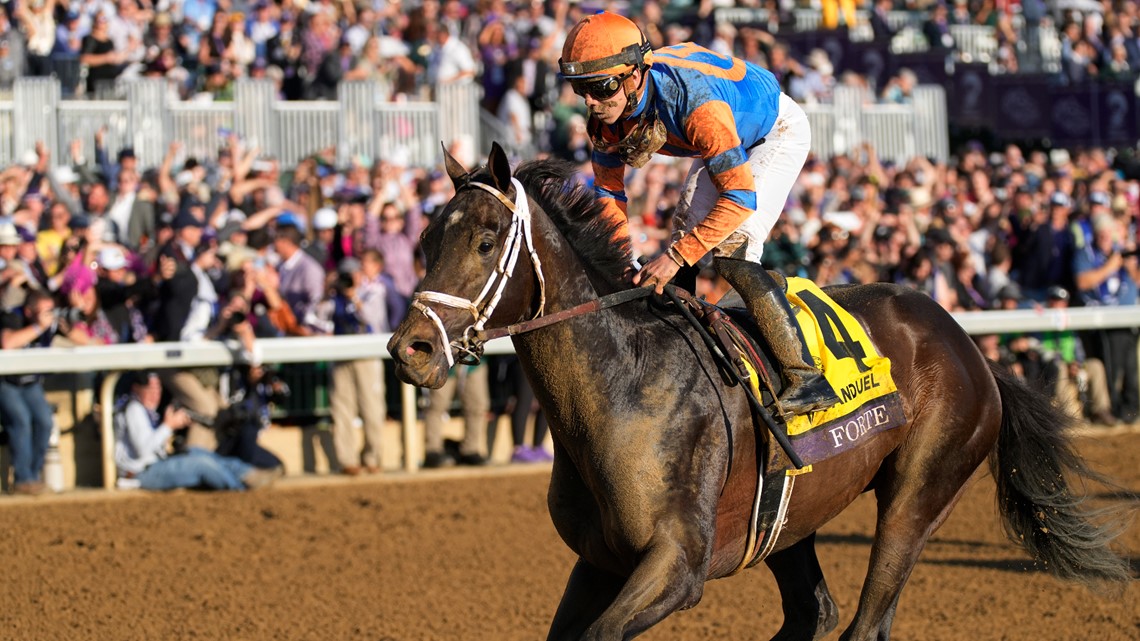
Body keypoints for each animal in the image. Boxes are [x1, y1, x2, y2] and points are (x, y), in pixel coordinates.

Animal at [385, 144, 1130, 638]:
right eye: (423, 239)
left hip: (920, 495)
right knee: (815, 613)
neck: (621, 386)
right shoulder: (599, 562)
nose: (409, 350)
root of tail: (969, 344)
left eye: (486, 240)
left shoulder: (676, 563)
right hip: (790, 516)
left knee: (865, 617)